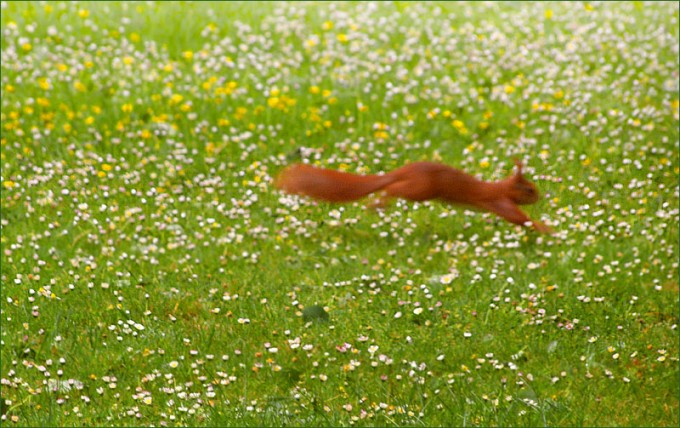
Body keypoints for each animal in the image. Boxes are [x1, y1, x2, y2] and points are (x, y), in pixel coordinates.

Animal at [275, 159, 552, 233]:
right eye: (529, 190)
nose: (538, 197)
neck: (500, 188)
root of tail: (404, 170)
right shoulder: (500, 202)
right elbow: (520, 219)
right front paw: (547, 229)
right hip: (420, 191)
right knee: (393, 190)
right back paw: (378, 202)